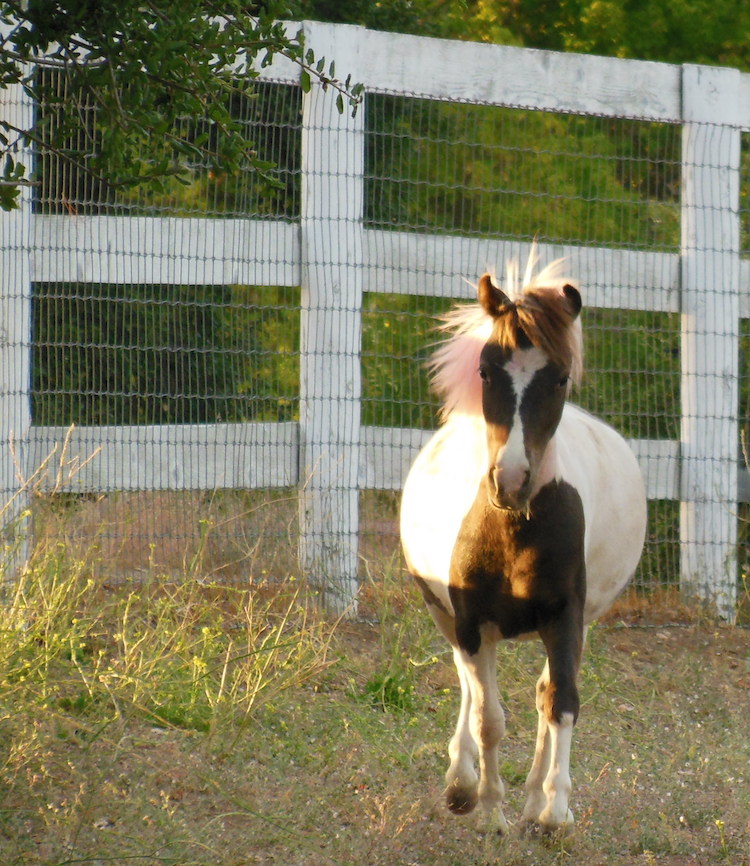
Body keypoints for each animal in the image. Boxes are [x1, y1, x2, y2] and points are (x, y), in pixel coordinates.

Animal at [402, 255, 648, 832]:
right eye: (486, 370)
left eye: (558, 377)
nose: (511, 480)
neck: (512, 529)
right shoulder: (471, 623)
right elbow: (489, 717)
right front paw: (490, 810)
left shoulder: (565, 616)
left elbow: (561, 702)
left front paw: (552, 811)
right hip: (445, 615)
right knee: (468, 686)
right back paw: (461, 784)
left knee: (541, 694)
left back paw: (535, 798)